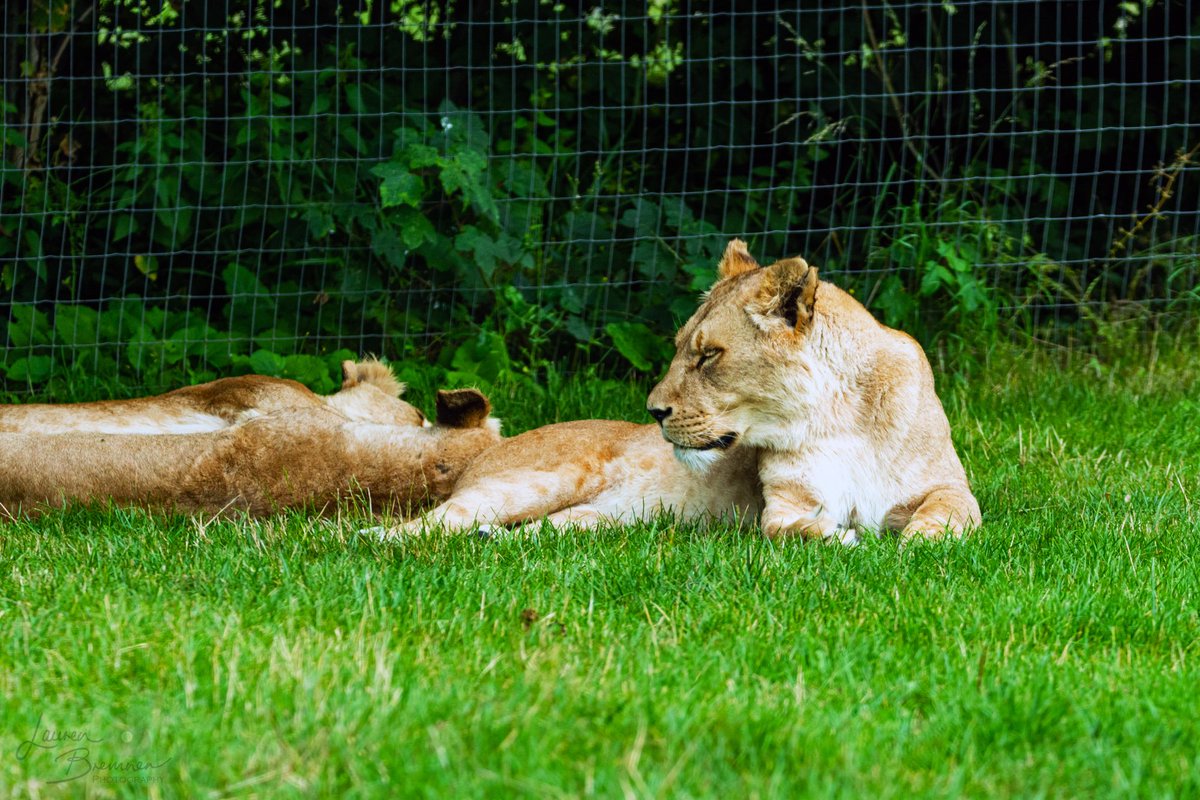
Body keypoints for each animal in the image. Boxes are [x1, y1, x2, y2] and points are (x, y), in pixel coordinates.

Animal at [382, 420, 761, 536]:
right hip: (549, 479)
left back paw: (489, 536)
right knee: (438, 519)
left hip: (601, 517)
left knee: (534, 530)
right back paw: (375, 540)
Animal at [646, 239, 981, 544]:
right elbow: (782, 529)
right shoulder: (787, 502)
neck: (841, 416)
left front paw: (921, 540)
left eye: (710, 354)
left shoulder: (947, 484)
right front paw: (839, 535)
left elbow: (945, 512)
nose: (654, 411)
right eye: (678, 346)